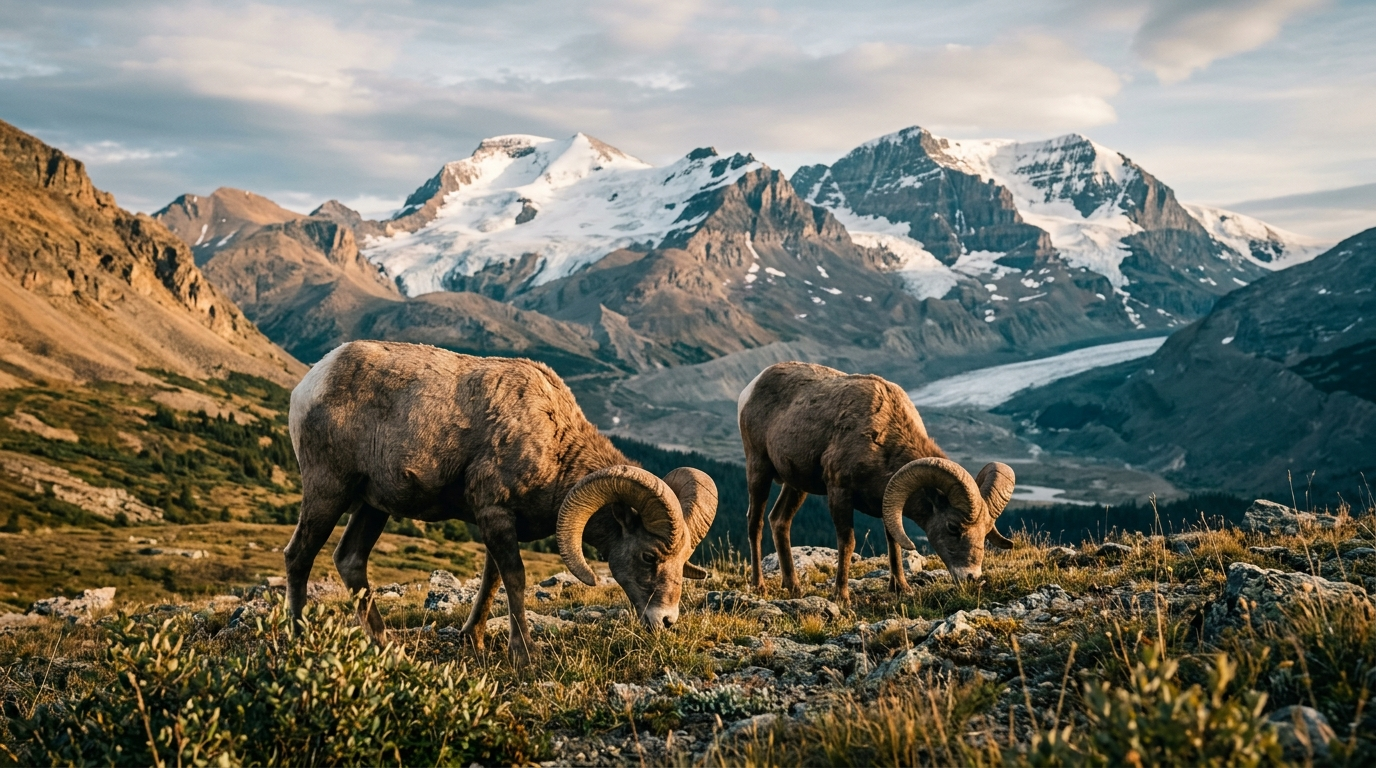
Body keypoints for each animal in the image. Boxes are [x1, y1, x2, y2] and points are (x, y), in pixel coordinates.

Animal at [286, 340, 717, 666]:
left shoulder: (498, 524)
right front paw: (525, 655)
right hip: (328, 491)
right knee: (299, 555)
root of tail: (311, 382)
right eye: (648, 556)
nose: (666, 621)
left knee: (350, 560)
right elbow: (515, 579)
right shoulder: (495, 515)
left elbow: (491, 580)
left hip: (373, 506)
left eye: (682, 561)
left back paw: (388, 646)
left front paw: (474, 641)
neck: (554, 444)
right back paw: (300, 638)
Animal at [737, 361, 1015, 603]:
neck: (882, 439)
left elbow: (893, 541)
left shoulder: (887, 500)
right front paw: (842, 596)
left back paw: (793, 586)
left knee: (779, 521)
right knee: (755, 522)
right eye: (953, 527)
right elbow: (847, 542)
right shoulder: (839, 491)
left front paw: (901, 588)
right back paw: (759, 585)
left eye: (986, 530)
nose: (971, 577)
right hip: (759, 468)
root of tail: (750, 388)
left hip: (795, 485)